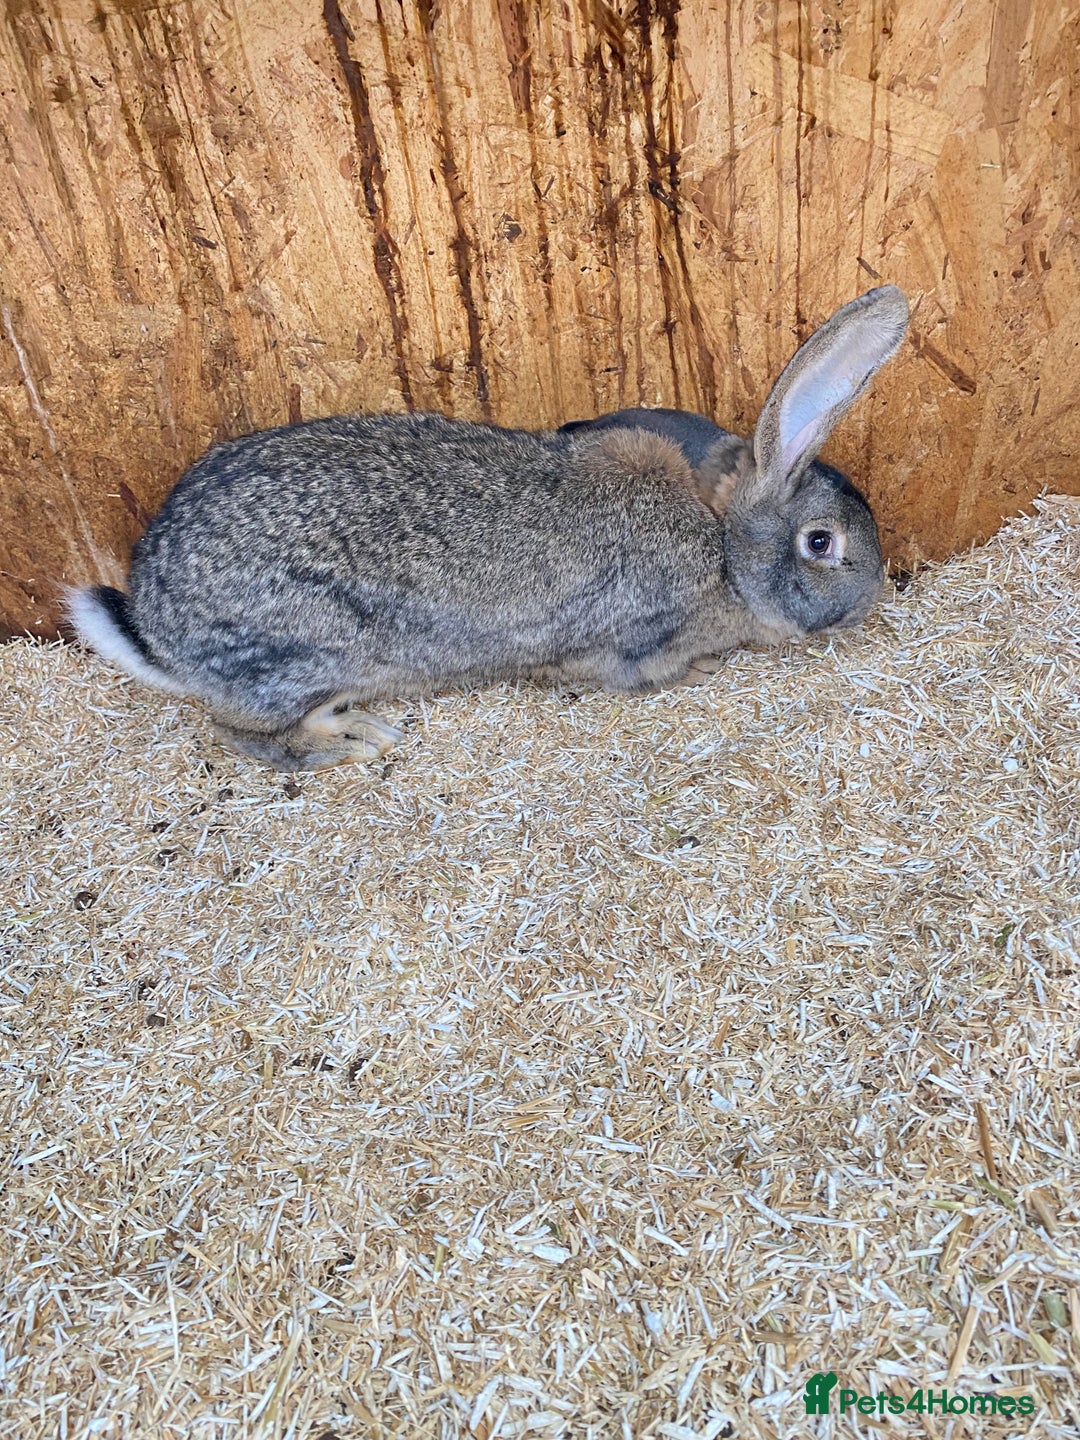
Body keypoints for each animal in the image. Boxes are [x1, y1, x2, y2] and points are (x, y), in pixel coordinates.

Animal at [67, 285, 909, 771]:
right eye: (822, 543)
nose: (874, 592)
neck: (723, 546)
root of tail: (159, 631)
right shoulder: (634, 640)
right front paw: (700, 673)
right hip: (292, 658)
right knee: (245, 735)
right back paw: (352, 738)